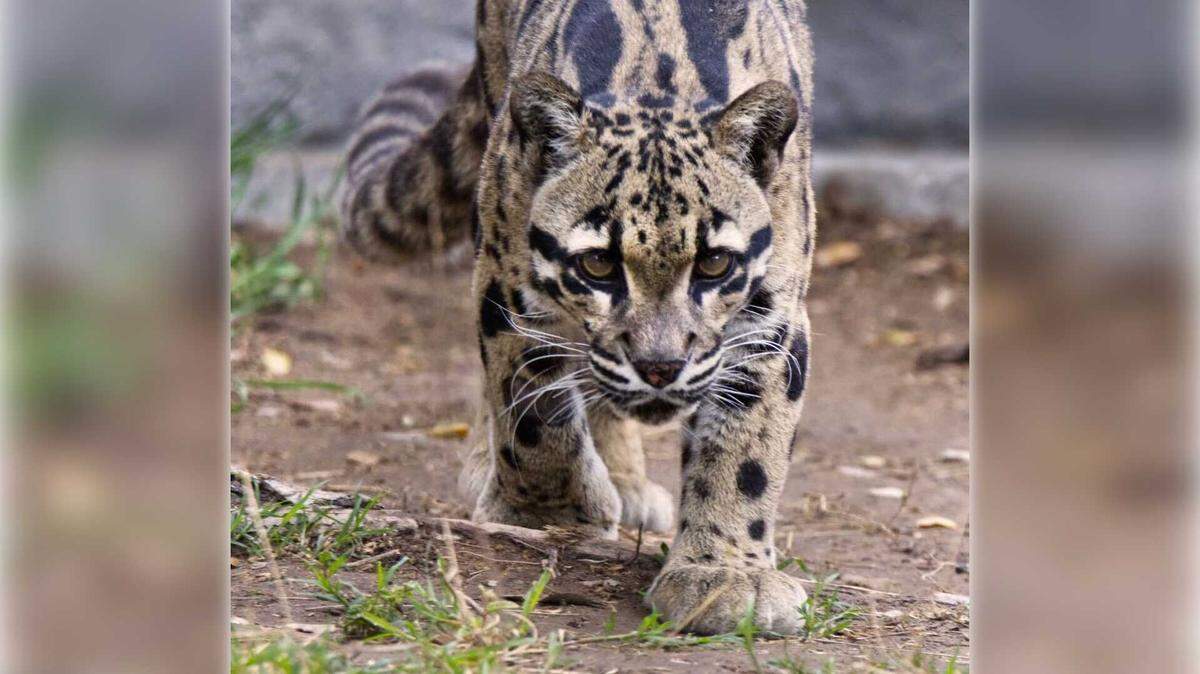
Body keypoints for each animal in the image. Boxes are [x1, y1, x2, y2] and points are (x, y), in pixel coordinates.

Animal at [340, 0, 816, 636]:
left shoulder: (769, 316)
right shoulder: (508, 283)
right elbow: (530, 411)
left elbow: (746, 447)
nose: (659, 367)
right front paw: (548, 512)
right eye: (598, 264)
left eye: (714, 263)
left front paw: (724, 572)